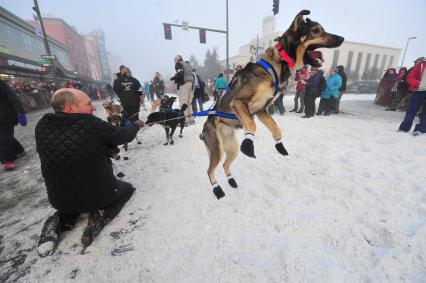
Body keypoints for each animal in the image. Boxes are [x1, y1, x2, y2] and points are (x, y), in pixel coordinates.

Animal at [201, 9, 344, 200]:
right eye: (316, 30)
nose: (342, 38)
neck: (277, 64)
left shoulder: (262, 110)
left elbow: (276, 128)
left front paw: (280, 146)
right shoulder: (239, 102)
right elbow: (252, 126)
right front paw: (249, 145)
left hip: (231, 149)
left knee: (225, 165)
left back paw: (231, 181)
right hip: (217, 150)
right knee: (210, 170)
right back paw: (217, 189)